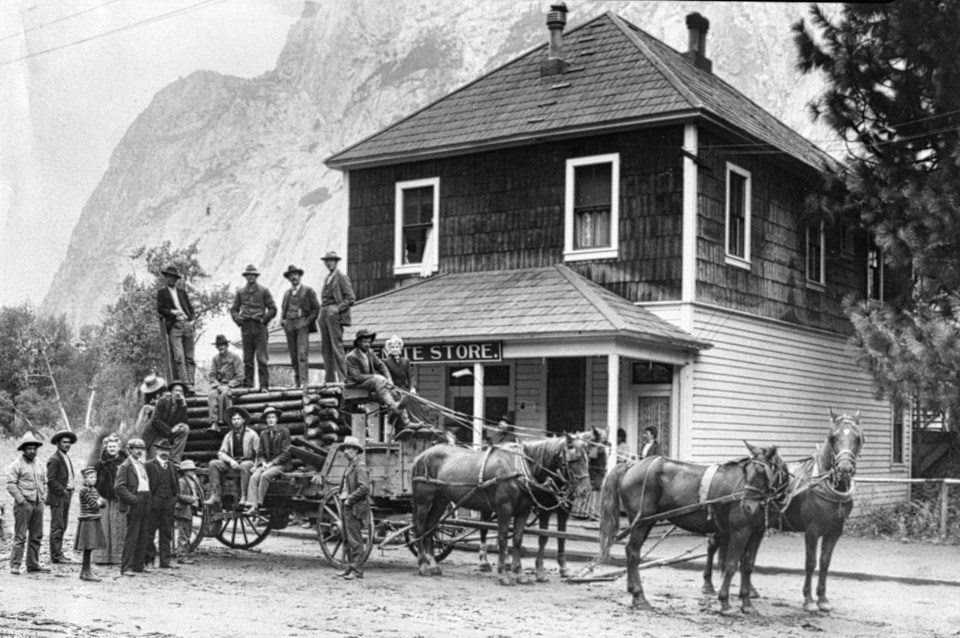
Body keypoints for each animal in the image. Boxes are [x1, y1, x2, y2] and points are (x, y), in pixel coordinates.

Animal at [412, 438, 592, 588]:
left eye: (587, 459)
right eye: (573, 460)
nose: (585, 490)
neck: (519, 468)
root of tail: (421, 456)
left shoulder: (524, 511)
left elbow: (518, 539)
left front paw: (520, 573)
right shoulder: (504, 509)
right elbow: (503, 539)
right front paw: (504, 574)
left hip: (441, 500)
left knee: (431, 526)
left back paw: (433, 564)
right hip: (423, 501)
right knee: (420, 528)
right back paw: (423, 565)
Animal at [600, 444, 788, 616]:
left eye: (764, 473)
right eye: (746, 471)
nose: (746, 506)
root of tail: (632, 465)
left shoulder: (757, 532)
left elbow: (748, 566)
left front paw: (747, 604)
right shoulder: (740, 531)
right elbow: (731, 565)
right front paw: (725, 602)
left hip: (645, 522)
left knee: (630, 551)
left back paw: (632, 589)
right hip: (641, 523)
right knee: (633, 553)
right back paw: (639, 596)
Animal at [700, 410, 868, 616]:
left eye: (858, 438)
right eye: (833, 437)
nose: (844, 469)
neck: (823, 485)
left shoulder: (835, 531)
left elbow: (825, 562)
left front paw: (822, 599)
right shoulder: (812, 530)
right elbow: (811, 563)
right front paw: (809, 600)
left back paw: (750, 591)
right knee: (712, 546)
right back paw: (708, 584)